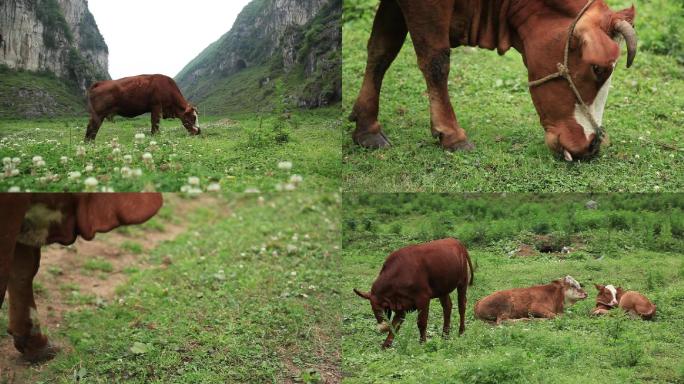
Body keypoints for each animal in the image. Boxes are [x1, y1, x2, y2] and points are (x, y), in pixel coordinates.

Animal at [350, 0, 640, 160]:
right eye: (598, 68)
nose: (593, 145)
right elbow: (436, 60)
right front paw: (452, 134)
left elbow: (381, 50)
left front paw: (366, 127)